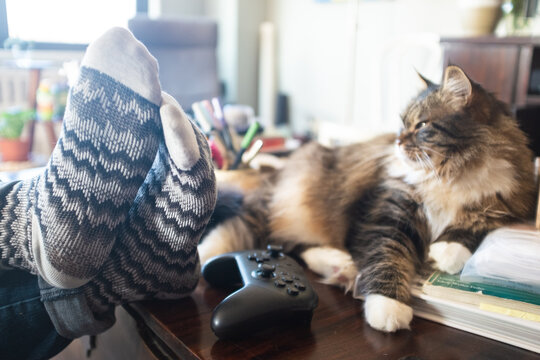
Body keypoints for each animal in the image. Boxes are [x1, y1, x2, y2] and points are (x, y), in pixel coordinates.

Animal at [198, 65, 536, 332]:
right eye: (402, 123)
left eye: (422, 125)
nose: (398, 141)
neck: (448, 174)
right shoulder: (387, 215)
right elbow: (388, 257)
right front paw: (389, 307)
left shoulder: (510, 202)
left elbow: (476, 224)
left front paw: (447, 253)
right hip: (275, 212)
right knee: (245, 241)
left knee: (291, 248)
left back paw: (340, 266)